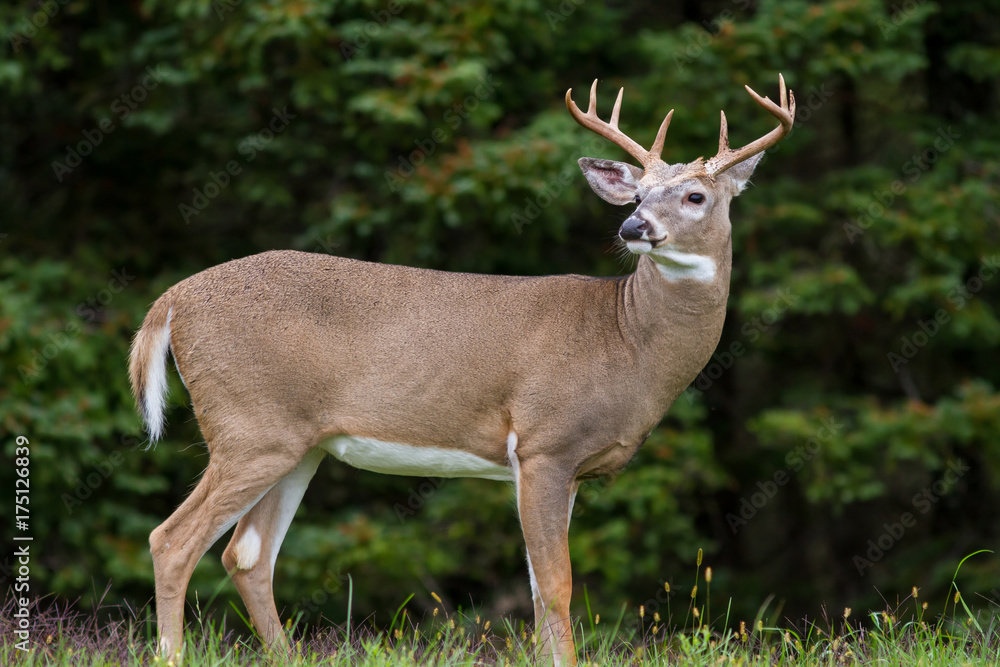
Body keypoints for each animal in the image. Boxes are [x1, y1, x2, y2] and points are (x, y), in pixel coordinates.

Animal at [129, 74, 794, 665]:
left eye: (695, 196)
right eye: (636, 196)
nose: (633, 227)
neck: (627, 341)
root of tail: (172, 301)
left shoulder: (565, 469)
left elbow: (537, 590)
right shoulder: (545, 443)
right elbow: (557, 586)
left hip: (299, 443)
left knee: (247, 555)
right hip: (248, 425)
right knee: (173, 541)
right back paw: (171, 654)